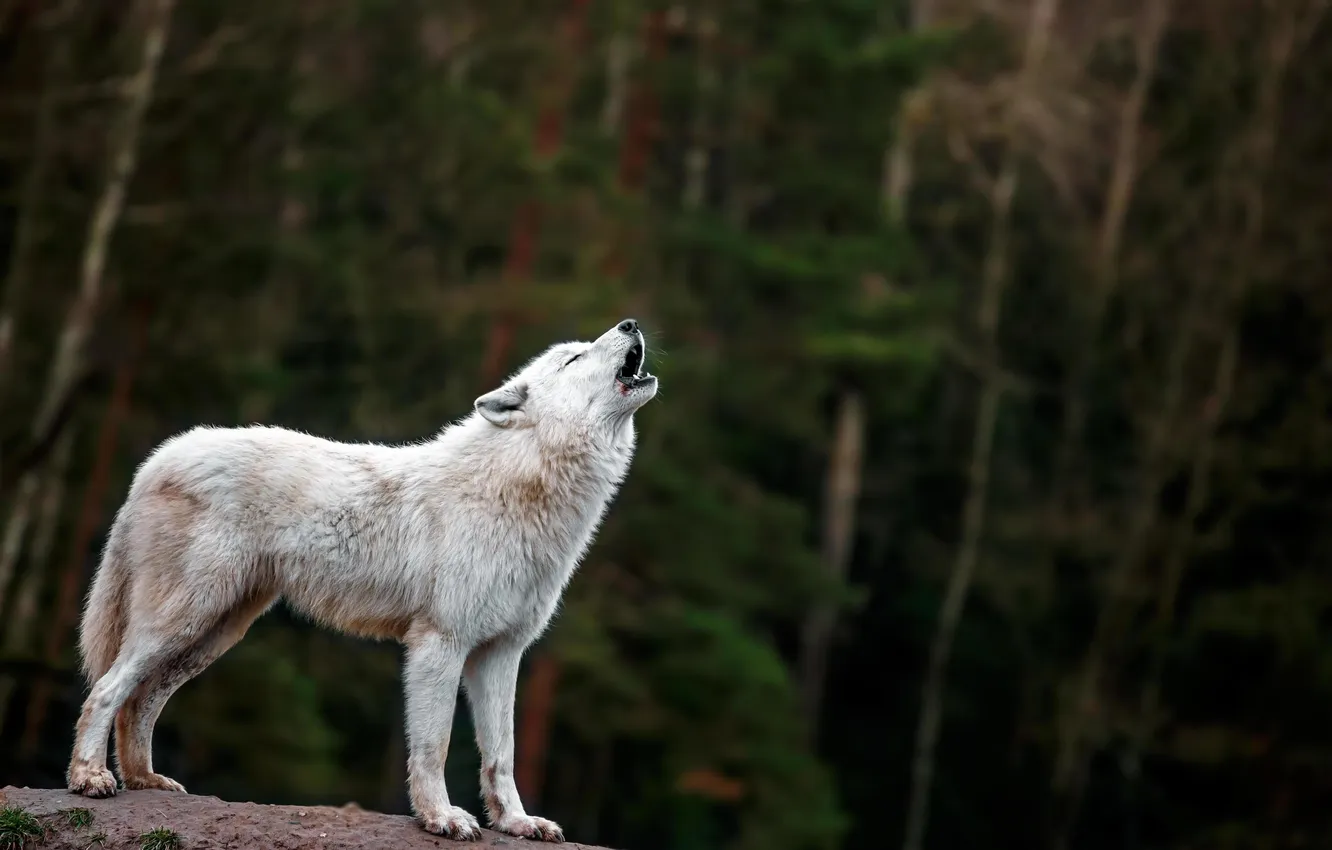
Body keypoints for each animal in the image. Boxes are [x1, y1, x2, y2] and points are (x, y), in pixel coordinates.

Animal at [65, 318, 658, 842]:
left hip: (214, 633)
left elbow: (501, 755)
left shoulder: (501, 653)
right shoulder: (439, 644)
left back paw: (145, 780)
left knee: (140, 701)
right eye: (573, 359)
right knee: (106, 690)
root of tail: (159, 457)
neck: (519, 486)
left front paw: (516, 823)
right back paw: (90, 777)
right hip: (183, 619)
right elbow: (435, 746)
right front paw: (441, 818)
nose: (631, 323)